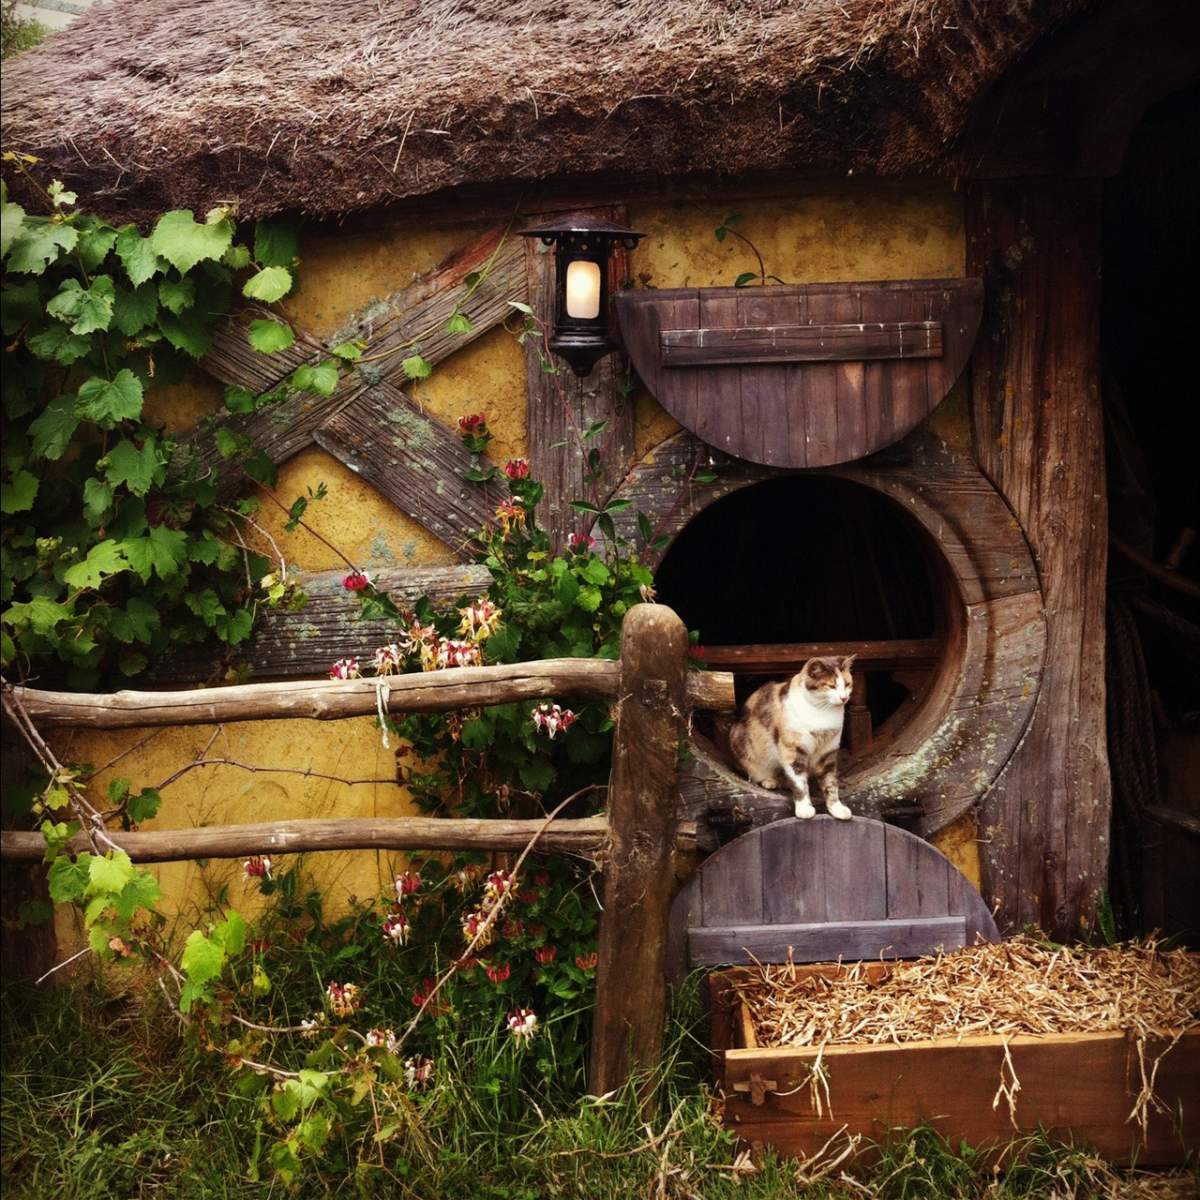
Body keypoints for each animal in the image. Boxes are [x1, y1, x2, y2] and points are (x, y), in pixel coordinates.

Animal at [724, 662, 859, 820]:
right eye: (831, 686)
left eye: (847, 684)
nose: (844, 698)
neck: (824, 714)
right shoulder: (793, 750)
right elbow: (799, 782)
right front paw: (804, 809)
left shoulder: (827, 753)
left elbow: (830, 782)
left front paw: (837, 809)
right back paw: (770, 781)